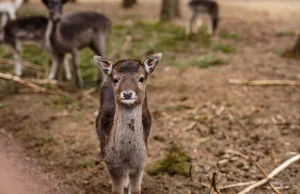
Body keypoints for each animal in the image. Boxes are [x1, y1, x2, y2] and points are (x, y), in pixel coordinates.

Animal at [95, 52, 163, 193]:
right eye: (116, 79)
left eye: (141, 78)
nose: (127, 94)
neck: (127, 158)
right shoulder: (110, 163)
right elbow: (117, 190)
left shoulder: (140, 163)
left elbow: (136, 190)